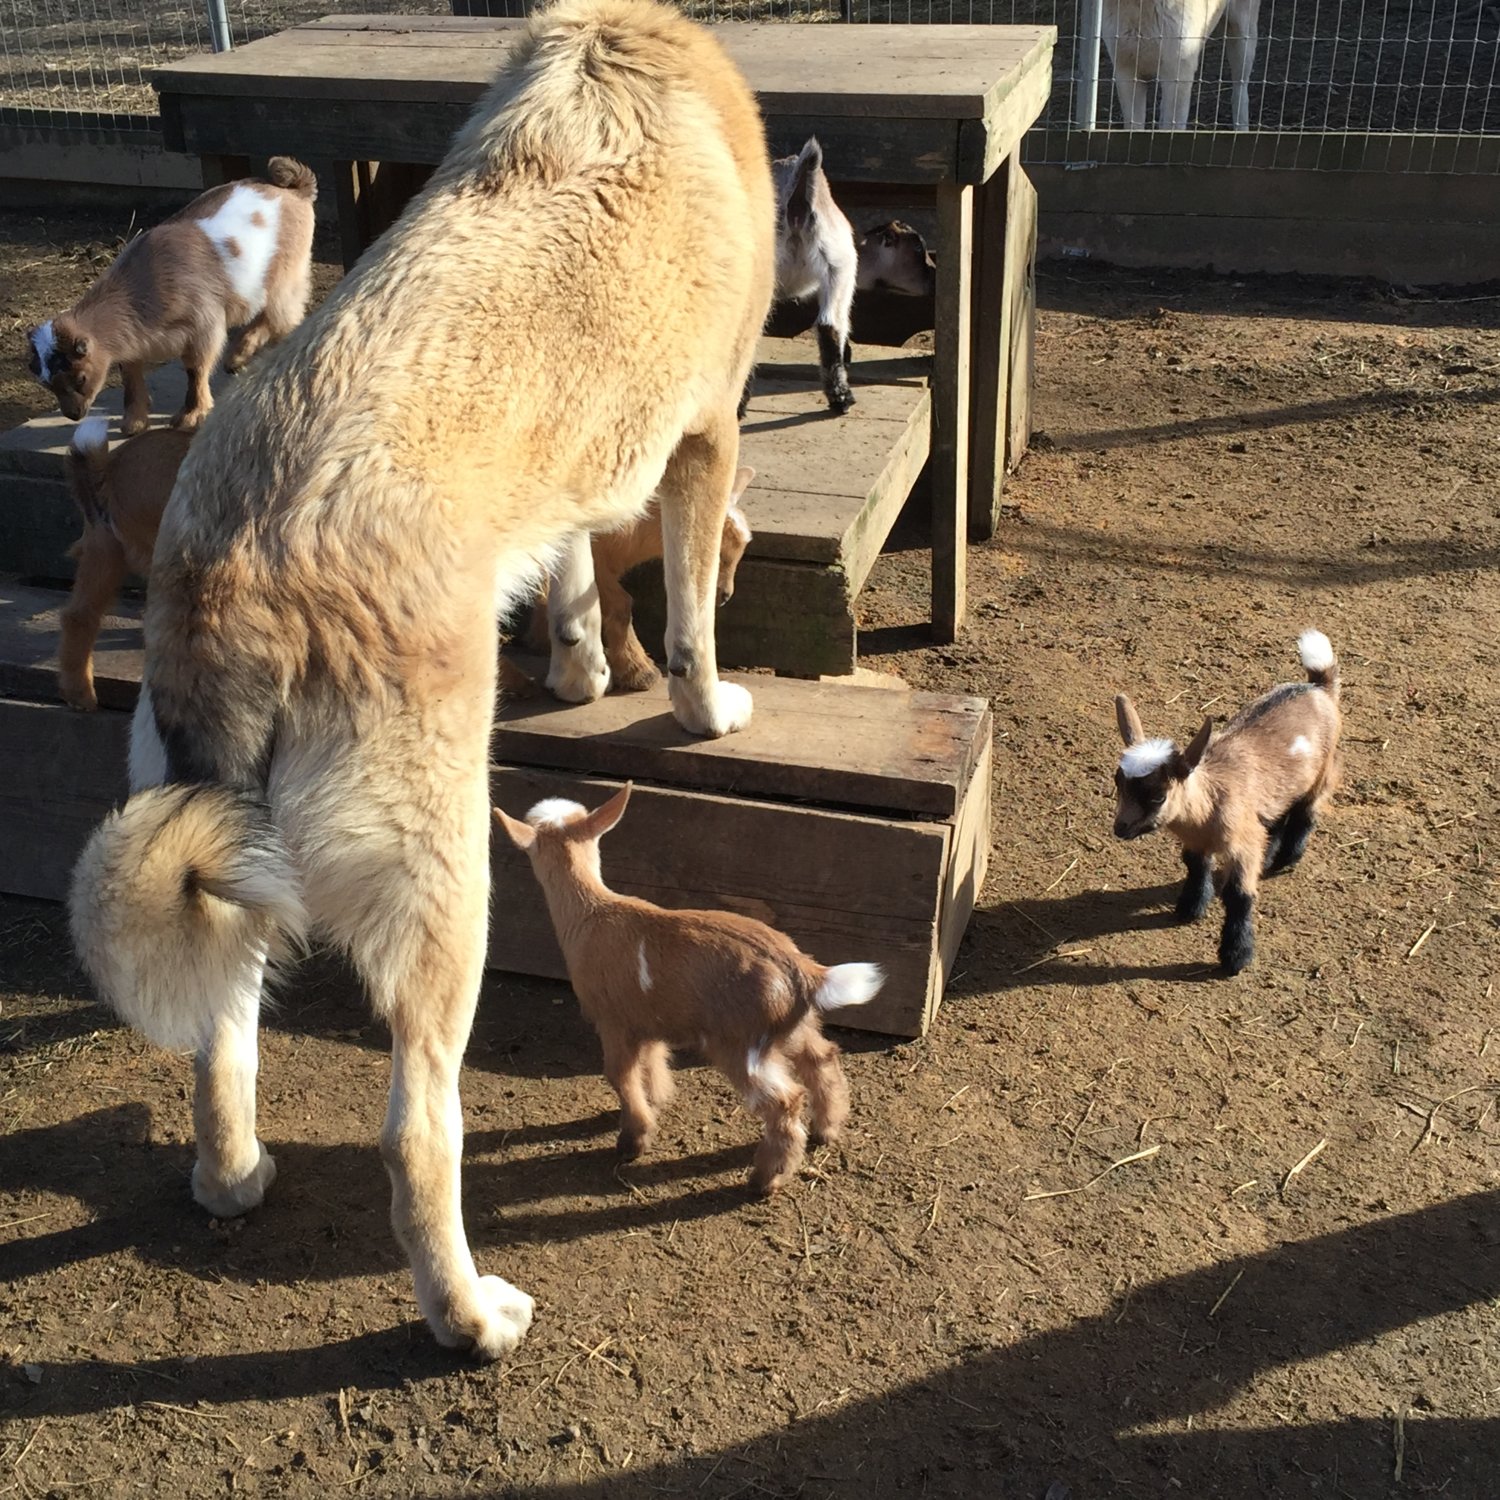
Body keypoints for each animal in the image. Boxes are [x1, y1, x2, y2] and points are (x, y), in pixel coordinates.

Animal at [67, 0, 774, 1362]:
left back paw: (234, 1180)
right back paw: (468, 1314)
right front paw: (705, 708)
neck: (618, 49)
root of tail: (246, 564)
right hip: (454, 891)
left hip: (215, 852)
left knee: (220, 1046)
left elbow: (570, 575)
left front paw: (581, 666)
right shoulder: (704, 436)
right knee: (417, 1130)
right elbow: (690, 619)